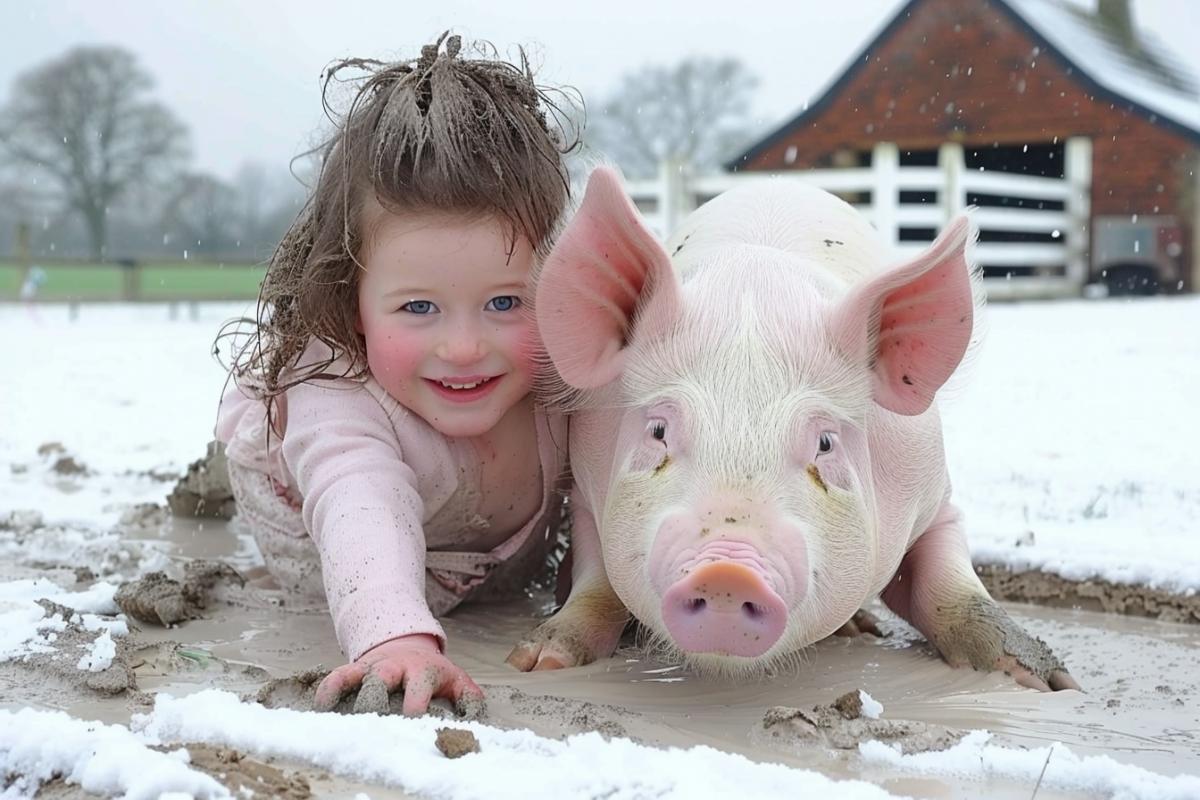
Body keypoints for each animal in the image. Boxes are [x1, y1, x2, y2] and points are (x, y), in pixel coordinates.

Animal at [506, 166, 1078, 691]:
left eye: (824, 443)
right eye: (658, 431)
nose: (727, 572)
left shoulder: (936, 496)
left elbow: (952, 591)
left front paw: (1051, 685)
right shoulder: (585, 491)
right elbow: (597, 585)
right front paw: (535, 662)